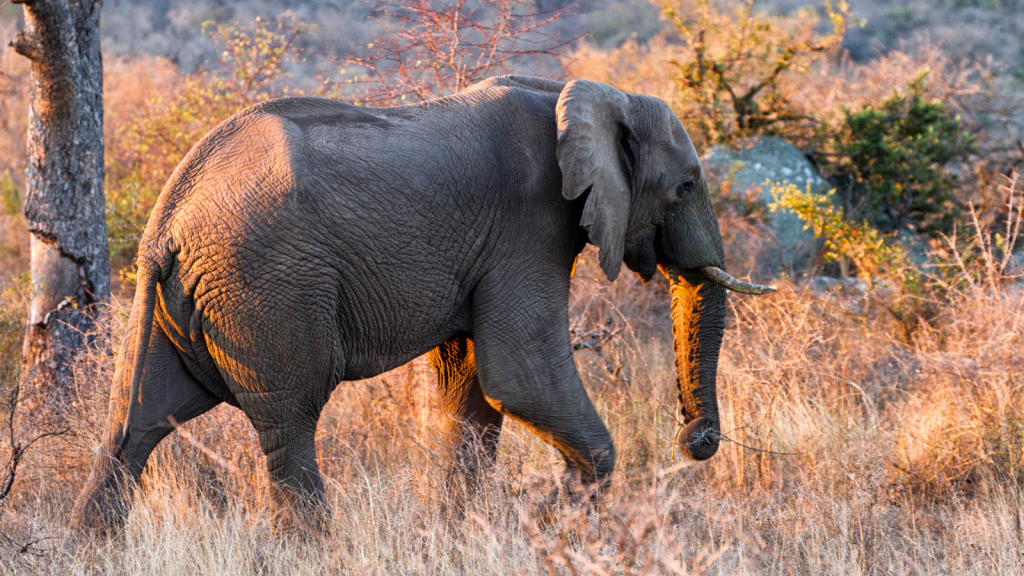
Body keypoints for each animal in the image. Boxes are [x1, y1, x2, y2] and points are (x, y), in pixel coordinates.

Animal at [72, 73, 770, 528]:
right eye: (686, 185)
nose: (695, 439)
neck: (589, 93)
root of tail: (169, 217)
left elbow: (471, 388)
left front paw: (469, 528)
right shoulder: (529, 228)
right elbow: (519, 378)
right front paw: (548, 518)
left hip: (183, 300)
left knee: (136, 423)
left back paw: (91, 545)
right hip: (266, 284)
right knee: (290, 419)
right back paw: (315, 550)